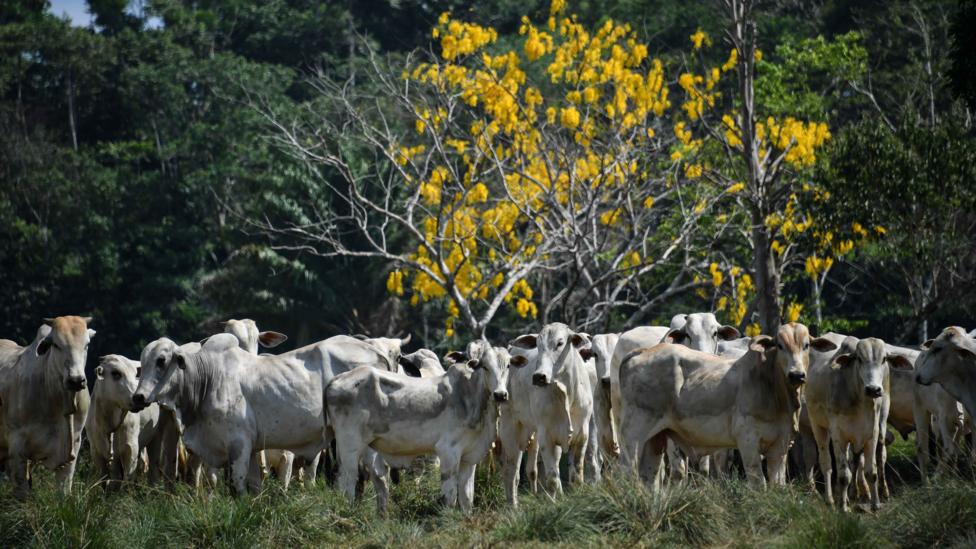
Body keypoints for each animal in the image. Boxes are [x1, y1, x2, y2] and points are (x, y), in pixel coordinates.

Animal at [0, 314, 94, 498]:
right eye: (56, 345)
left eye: (86, 344)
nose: (76, 380)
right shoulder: (17, 448)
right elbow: (22, 492)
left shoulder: (73, 446)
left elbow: (63, 491)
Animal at [133, 332, 392, 494]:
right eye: (142, 363)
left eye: (161, 360)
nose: (138, 397)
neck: (207, 379)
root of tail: (376, 351)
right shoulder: (247, 448)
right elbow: (252, 486)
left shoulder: (238, 444)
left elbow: (237, 487)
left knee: (367, 475)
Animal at [328, 338, 510, 512]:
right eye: (485, 366)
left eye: (508, 365)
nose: (500, 394)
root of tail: (336, 380)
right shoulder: (447, 452)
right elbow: (450, 497)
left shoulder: (468, 458)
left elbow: (467, 498)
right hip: (349, 447)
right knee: (347, 482)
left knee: (376, 480)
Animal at [620, 322, 836, 488]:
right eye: (780, 345)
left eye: (806, 345)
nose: (796, 374)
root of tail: (643, 352)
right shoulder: (748, 441)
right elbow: (759, 484)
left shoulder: (780, 446)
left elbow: (776, 485)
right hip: (634, 435)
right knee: (628, 471)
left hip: (655, 439)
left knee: (649, 477)